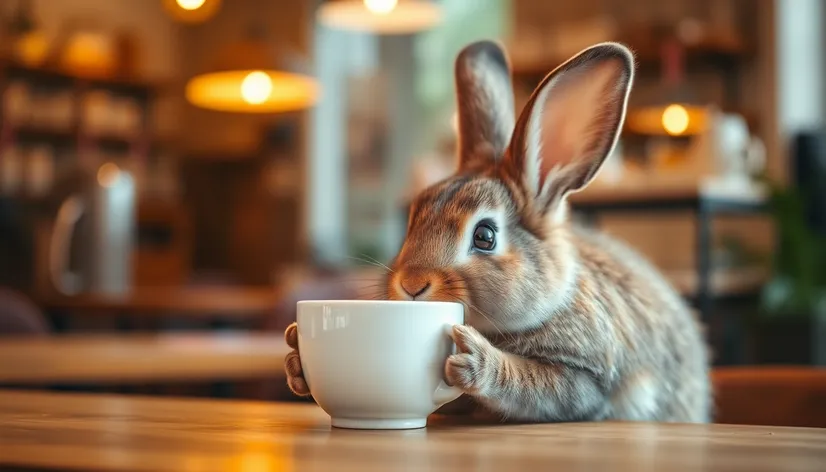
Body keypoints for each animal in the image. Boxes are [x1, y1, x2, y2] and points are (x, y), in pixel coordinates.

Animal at [284, 39, 708, 424]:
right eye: (412, 221)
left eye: (485, 236)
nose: (411, 285)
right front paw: (294, 353)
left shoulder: (587, 378)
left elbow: (534, 384)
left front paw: (475, 360)